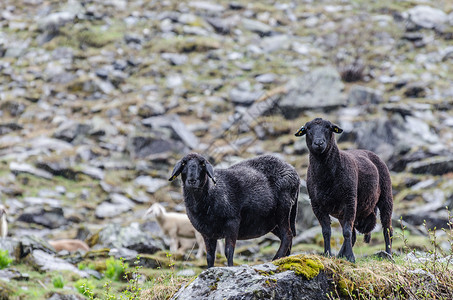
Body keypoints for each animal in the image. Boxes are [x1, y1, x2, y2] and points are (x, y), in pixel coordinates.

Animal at [168, 152, 298, 268]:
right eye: (183, 163)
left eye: (202, 164)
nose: (192, 180)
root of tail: (293, 171)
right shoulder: (207, 232)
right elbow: (210, 256)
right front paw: (209, 270)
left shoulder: (232, 222)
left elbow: (228, 251)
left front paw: (230, 267)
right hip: (271, 221)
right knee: (287, 236)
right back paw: (285, 259)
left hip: (283, 208)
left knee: (287, 235)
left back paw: (276, 258)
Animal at [294, 118, 390, 262]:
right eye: (308, 129)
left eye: (329, 128)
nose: (319, 143)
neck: (326, 178)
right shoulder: (317, 206)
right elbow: (326, 232)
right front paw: (328, 254)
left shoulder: (350, 201)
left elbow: (346, 232)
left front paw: (350, 257)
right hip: (341, 212)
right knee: (354, 235)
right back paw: (339, 255)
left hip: (385, 197)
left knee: (387, 229)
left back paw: (389, 254)